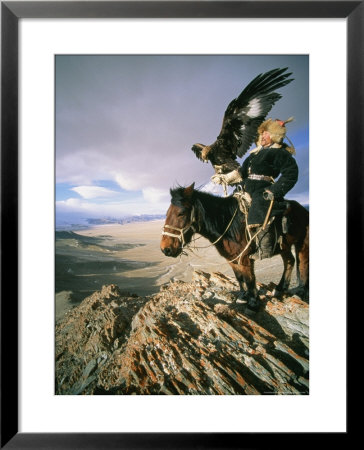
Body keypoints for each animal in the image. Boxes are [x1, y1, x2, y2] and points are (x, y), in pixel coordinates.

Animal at [161, 183, 308, 310]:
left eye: (181, 213)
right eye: (167, 213)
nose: (165, 249)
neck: (229, 225)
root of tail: (303, 209)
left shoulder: (245, 258)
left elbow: (249, 279)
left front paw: (253, 303)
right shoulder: (231, 258)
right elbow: (239, 277)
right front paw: (243, 297)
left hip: (302, 243)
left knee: (302, 262)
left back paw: (300, 291)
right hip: (284, 246)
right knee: (289, 261)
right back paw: (279, 289)